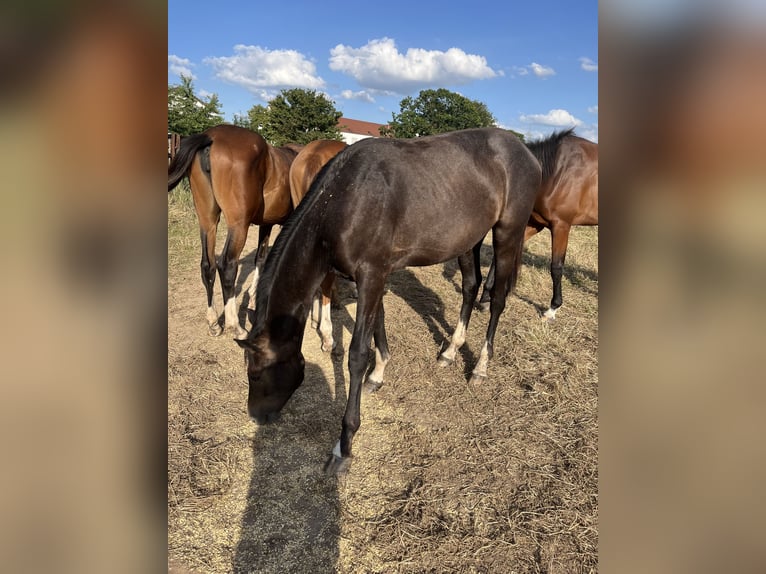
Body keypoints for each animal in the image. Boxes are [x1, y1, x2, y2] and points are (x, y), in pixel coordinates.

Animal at [170, 126, 302, 340]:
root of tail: (211, 137)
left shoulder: (266, 223)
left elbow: (261, 258)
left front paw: (254, 300)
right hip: (239, 225)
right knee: (227, 265)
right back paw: (235, 326)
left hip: (207, 221)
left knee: (207, 266)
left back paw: (214, 323)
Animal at [480, 128, 600, 322]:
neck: (556, 172)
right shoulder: (535, 225)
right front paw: (485, 299)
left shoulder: (561, 226)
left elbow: (556, 267)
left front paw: (552, 308)